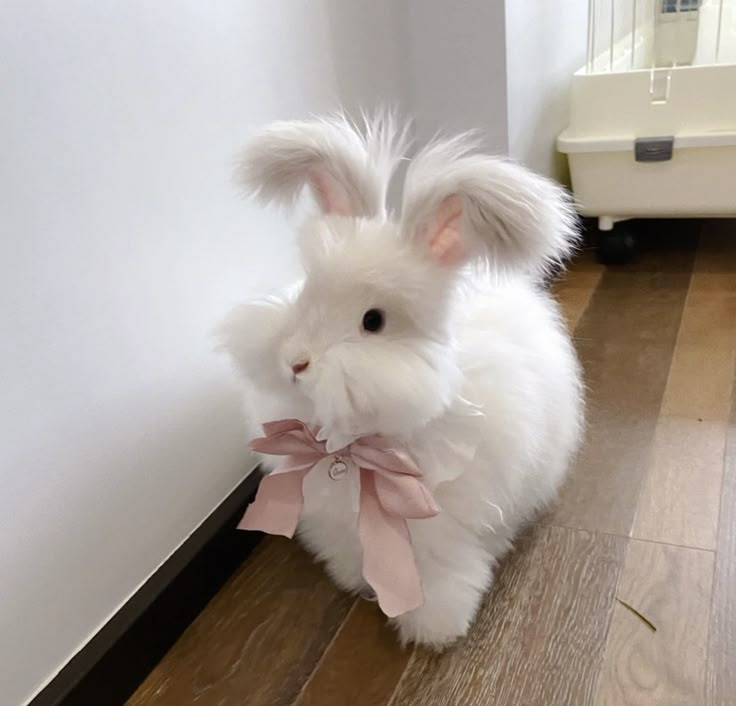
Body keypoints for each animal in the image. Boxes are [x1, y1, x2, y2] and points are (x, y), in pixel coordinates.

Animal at [218, 113, 580, 648]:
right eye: (306, 293)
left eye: (374, 321)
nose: (296, 363)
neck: (354, 449)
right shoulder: (334, 517)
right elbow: (349, 550)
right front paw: (352, 578)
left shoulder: (440, 530)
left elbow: (439, 574)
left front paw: (437, 628)